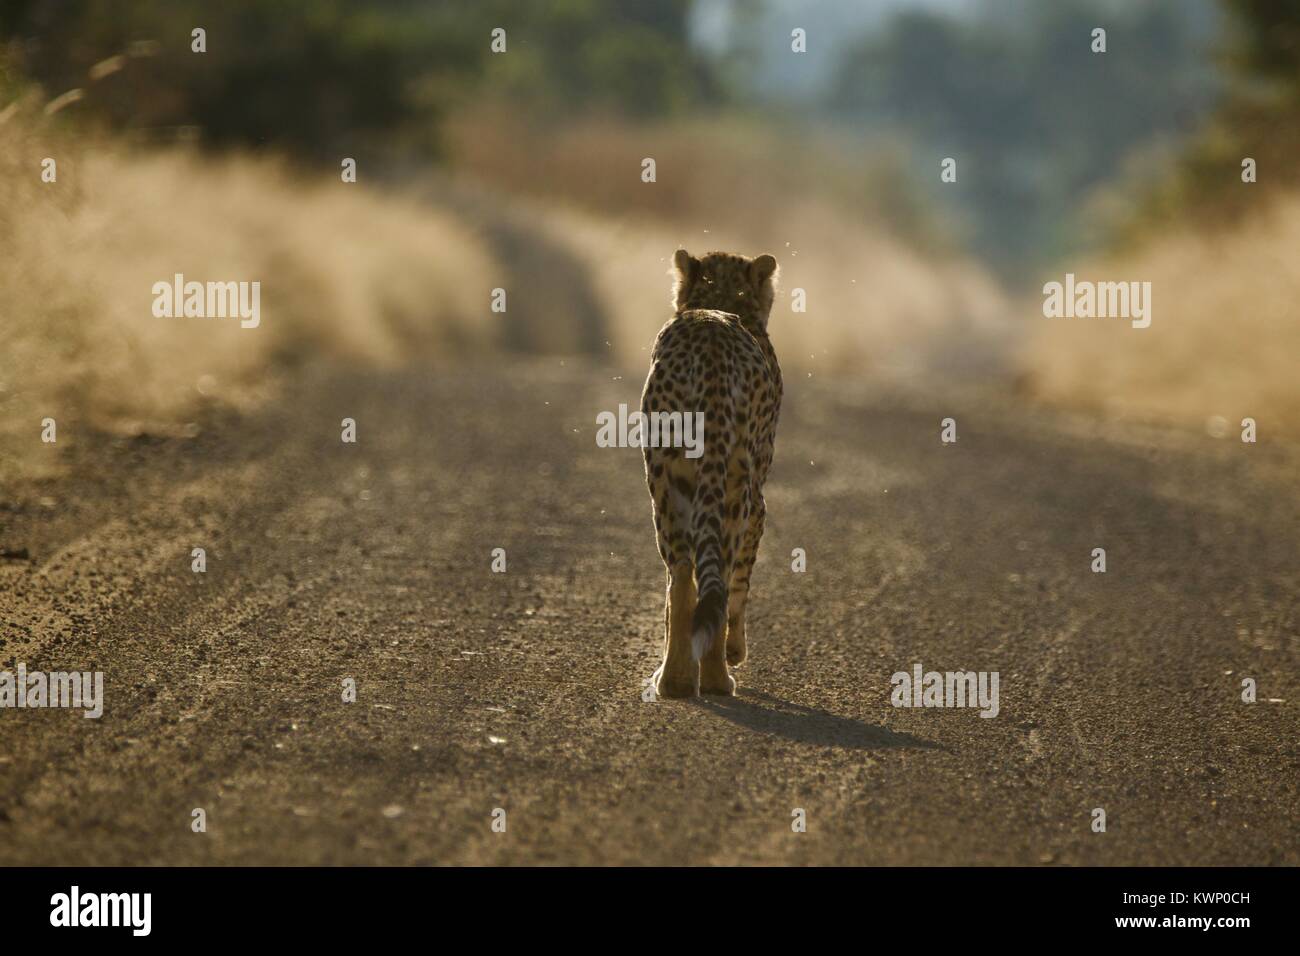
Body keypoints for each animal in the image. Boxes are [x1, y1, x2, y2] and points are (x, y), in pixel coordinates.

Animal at [639, 247, 780, 697]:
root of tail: (712, 333)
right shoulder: (760, 506)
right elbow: (740, 586)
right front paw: (736, 651)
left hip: (667, 476)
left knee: (683, 571)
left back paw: (678, 680)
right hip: (729, 483)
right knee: (710, 572)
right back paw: (714, 677)